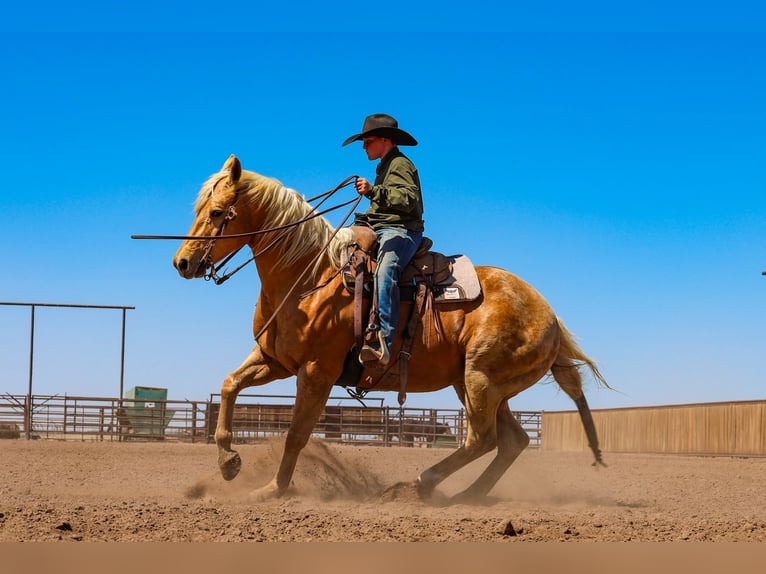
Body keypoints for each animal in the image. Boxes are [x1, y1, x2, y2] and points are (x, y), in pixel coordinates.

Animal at [172, 154, 609, 503]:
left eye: (217, 213)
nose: (183, 262)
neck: (309, 275)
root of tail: (550, 315)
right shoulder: (274, 360)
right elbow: (230, 385)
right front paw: (229, 463)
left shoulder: (316, 371)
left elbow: (297, 433)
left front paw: (271, 490)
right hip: (480, 384)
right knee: (511, 441)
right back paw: (466, 495)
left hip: (480, 378)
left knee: (482, 438)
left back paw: (422, 484)